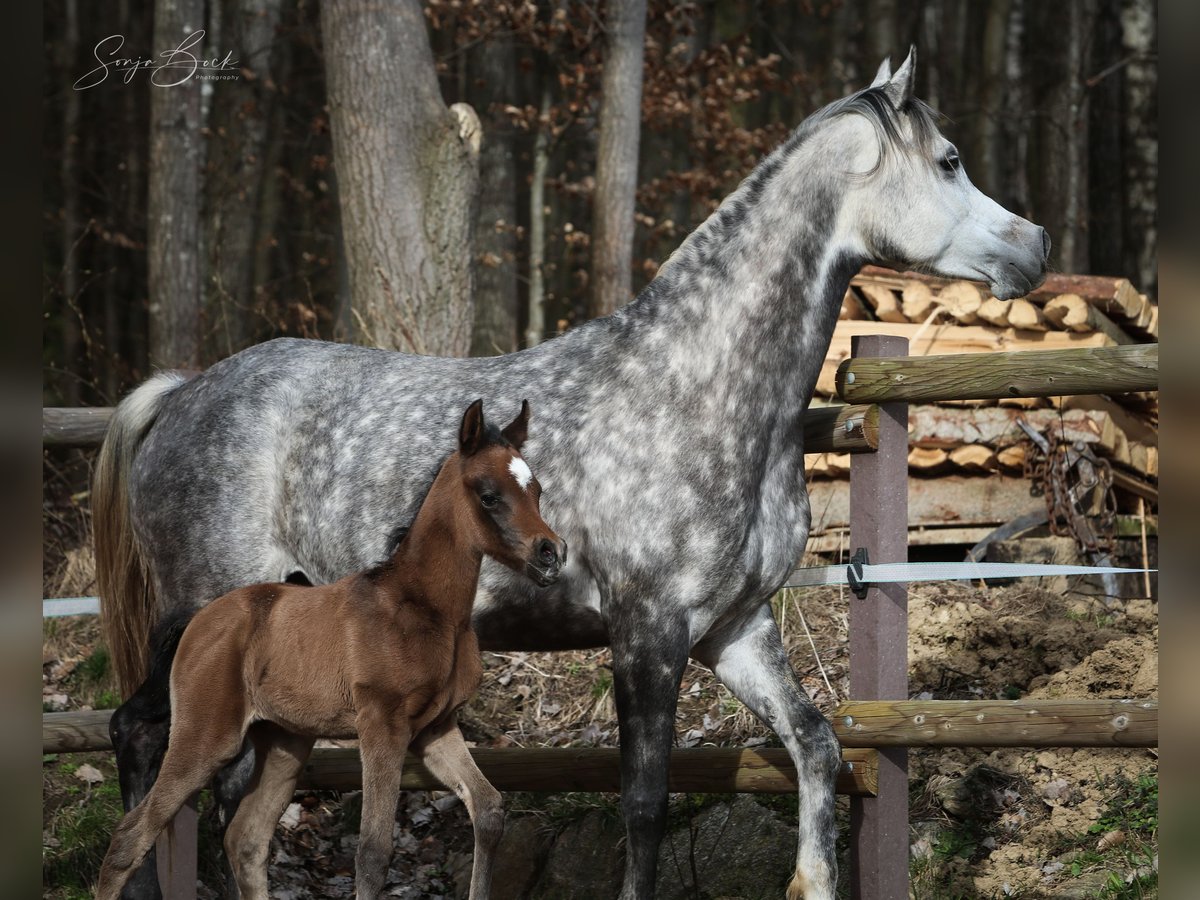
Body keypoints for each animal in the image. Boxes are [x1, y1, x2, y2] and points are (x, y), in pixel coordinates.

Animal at [96, 400, 564, 900]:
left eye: (537, 489)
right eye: (488, 495)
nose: (551, 553)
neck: (427, 609)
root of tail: (198, 621)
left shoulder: (436, 728)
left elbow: (489, 809)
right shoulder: (382, 725)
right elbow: (373, 851)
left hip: (285, 742)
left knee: (245, 839)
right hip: (205, 738)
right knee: (129, 835)